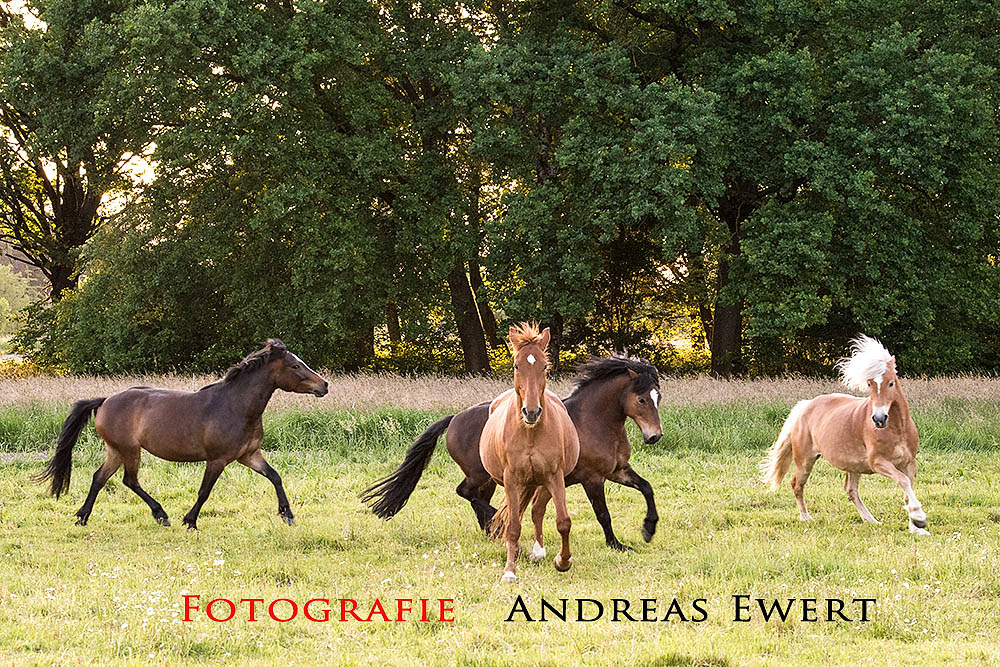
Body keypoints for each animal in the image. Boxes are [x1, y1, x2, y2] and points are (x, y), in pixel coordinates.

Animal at [37, 342, 328, 528]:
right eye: (295, 366)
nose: (324, 385)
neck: (236, 405)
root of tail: (105, 400)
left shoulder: (249, 455)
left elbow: (275, 477)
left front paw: (287, 515)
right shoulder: (218, 459)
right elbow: (204, 492)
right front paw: (190, 521)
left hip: (116, 451)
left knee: (99, 478)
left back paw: (83, 517)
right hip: (129, 450)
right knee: (129, 480)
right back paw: (161, 515)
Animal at [362, 352, 664, 552]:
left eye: (657, 397)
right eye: (641, 399)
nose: (654, 436)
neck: (591, 422)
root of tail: (455, 418)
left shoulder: (617, 471)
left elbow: (647, 488)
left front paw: (648, 529)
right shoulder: (593, 478)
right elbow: (603, 514)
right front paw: (617, 544)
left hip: (487, 479)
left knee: (475, 499)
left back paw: (492, 529)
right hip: (478, 474)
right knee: (465, 492)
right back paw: (498, 520)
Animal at [482, 326, 584, 580]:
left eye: (544, 367)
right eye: (517, 365)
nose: (531, 412)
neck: (529, 432)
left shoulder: (555, 476)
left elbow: (563, 521)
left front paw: (563, 561)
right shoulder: (511, 479)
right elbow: (513, 525)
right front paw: (509, 571)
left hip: (542, 481)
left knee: (537, 510)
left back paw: (538, 552)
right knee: (515, 515)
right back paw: (518, 550)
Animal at [764, 336, 928, 536]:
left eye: (891, 383)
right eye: (869, 384)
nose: (879, 419)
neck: (897, 429)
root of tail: (806, 405)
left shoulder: (909, 463)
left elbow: (907, 490)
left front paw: (916, 527)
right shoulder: (879, 463)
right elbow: (903, 482)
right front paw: (919, 518)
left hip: (854, 465)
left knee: (851, 491)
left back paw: (871, 520)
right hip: (805, 460)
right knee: (797, 484)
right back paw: (806, 518)